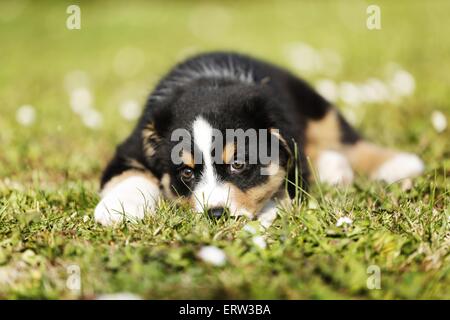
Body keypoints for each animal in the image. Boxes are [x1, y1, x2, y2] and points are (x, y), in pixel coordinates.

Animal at [93, 51, 424, 226]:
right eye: (186, 173)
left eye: (239, 165)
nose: (216, 215)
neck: (212, 83)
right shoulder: (131, 147)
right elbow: (131, 176)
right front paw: (118, 208)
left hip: (317, 105)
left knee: (347, 140)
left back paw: (397, 164)